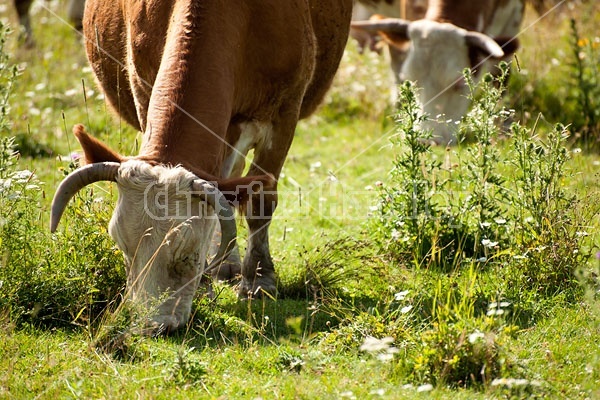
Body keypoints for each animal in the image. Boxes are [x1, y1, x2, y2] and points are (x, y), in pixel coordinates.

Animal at [51, 0, 354, 332]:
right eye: (122, 245)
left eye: (189, 253)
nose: (153, 325)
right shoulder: (143, 91)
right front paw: (209, 284)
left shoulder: (285, 111)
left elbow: (260, 201)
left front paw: (259, 281)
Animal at [354, 0, 524, 144]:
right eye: (410, 81)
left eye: (459, 84)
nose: (426, 140)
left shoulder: (514, 19)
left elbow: (501, 77)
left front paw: (504, 127)